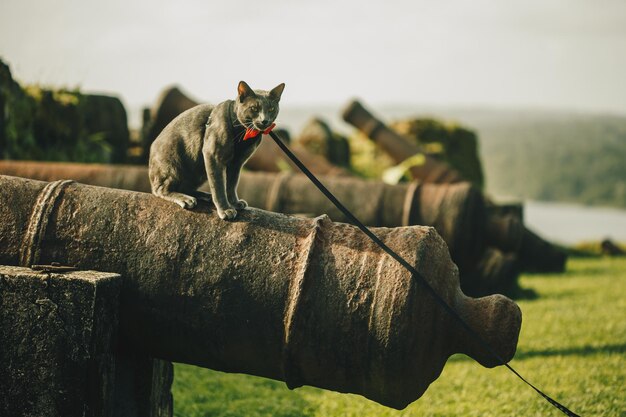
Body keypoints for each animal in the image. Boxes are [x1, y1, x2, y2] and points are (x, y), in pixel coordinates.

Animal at [147, 79, 284, 219]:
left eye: (271, 109)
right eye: (254, 108)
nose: (264, 120)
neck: (242, 132)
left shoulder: (237, 163)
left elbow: (231, 184)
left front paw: (234, 203)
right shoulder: (212, 156)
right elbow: (218, 187)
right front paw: (225, 210)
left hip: (197, 172)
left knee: (185, 187)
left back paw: (204, 195)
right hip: (173, 164)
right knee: (160, 189)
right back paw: (186, 199)